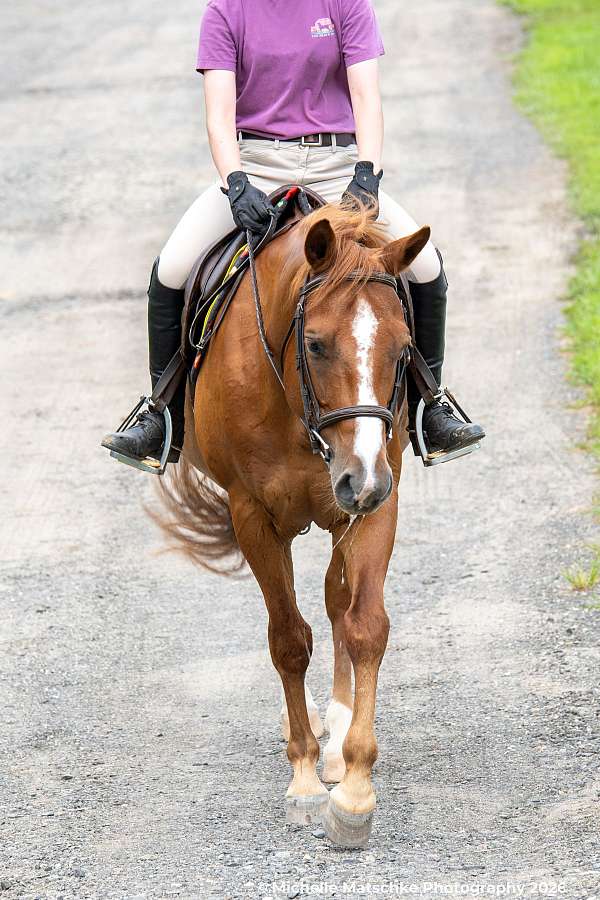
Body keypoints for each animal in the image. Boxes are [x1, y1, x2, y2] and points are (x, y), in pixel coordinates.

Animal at [155, 203, 430, 848]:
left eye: (404, 346)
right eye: (316, 344)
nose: (362, 477)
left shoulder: (377, 502)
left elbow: (365, 627)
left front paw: (353, 788)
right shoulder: (252, 513)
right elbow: (287, 640)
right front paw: (304, 779)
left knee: (336, 601)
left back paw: (337, 729)